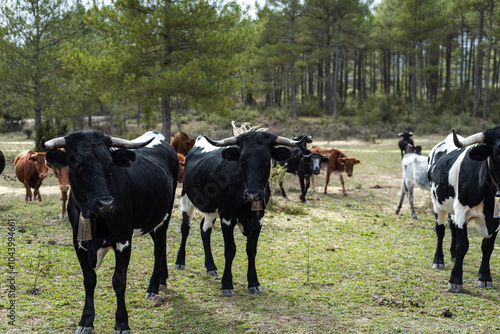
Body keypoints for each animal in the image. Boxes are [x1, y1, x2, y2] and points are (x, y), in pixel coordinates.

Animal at [42, 130, 178, 334]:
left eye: (110, 165)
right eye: (77, 164)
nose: (105, 203)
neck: (93, 218)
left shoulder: (124, 240)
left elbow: (118, 281)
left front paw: (122, 322)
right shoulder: (77, 242)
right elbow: (89, 280)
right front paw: (86, 320)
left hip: (165, 214)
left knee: (159, 248)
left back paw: (153, 286)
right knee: (161, 246)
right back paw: (163, 278)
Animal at [428, 128, 500, 292]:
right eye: (498, 152)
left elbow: (487, 247)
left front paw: (485, 277)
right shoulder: (462, 211)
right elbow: (463, 245)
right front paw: (455, 280)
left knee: (452, 226)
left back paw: (453, 255)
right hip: (437, 203)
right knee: (440, 231)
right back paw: (439, 260)